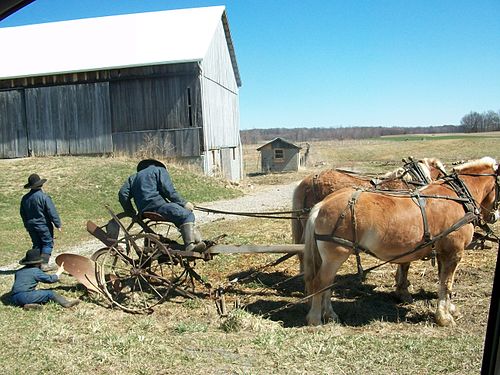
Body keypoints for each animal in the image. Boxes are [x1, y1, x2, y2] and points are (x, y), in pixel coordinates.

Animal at [302, 157, 498, 328]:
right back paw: (315, 319)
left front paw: (449, 309)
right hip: (335, 255)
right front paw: (444, 318)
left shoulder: (444, 252)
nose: (494, 216)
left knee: (328, 284)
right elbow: (447, 283)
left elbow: (443, 281)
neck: (459, 198)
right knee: (320, 283)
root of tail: (322, 204)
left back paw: (330, 315)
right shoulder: (454, 252)